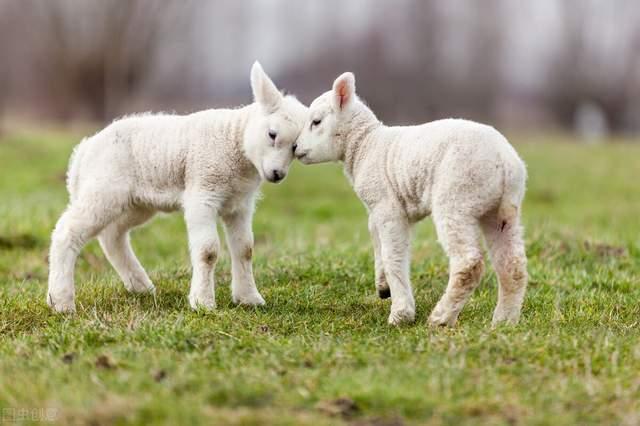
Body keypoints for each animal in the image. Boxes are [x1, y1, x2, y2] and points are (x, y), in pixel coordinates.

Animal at [47, 60, 308, 312]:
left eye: (295, 148)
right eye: (272, 134)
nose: (277, 174)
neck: (234, 141)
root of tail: (83, 152)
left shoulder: (240, 204)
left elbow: (245, 249)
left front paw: (249, 298)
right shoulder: (203, 193)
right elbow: (208, 251)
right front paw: (202, 302)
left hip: (136, 203)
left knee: (112, 235)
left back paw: (141, 286)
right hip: (104, 189)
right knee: (67, 232)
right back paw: (61, 301)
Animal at [292, 73, 528, 326]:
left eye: (316, 122)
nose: (295, 147)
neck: (365, 145)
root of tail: (505, 161)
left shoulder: (387, 207)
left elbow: (393, 255)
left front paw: (401, 313)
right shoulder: (379, 208)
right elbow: (377, 240)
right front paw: (383, 286)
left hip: (457, 197)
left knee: (468, 264)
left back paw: (441, 318)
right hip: (498, 211)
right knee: (513, 265)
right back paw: (503, 321)